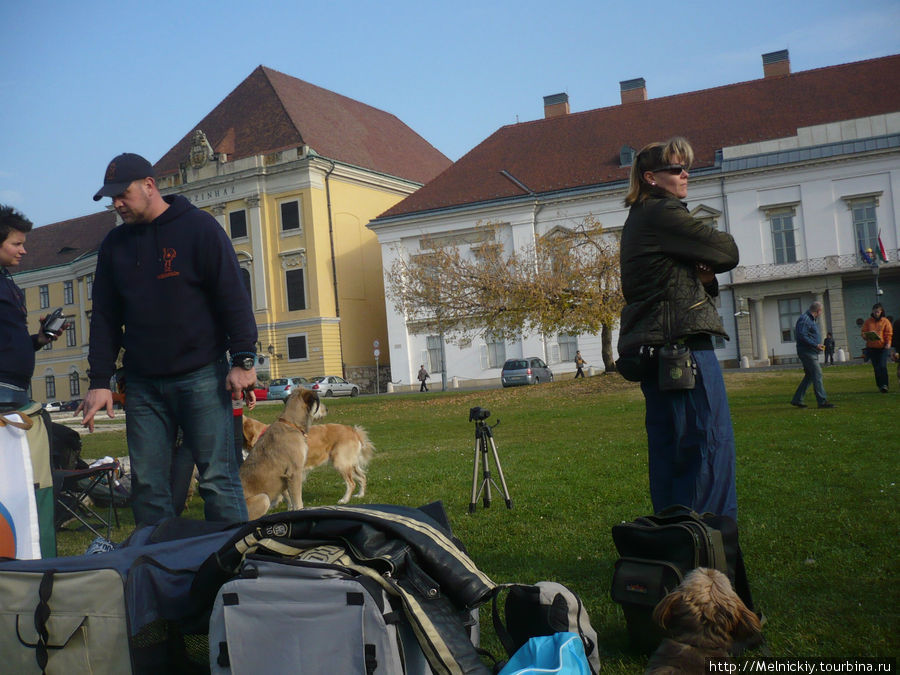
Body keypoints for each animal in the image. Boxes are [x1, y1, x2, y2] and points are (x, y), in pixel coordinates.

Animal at [237, 388, 326, 520]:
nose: (327, 409)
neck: (291, 424)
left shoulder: (284, 478)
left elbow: (288, 498)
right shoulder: (294, 473)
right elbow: (298, 502)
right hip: (263, 498)